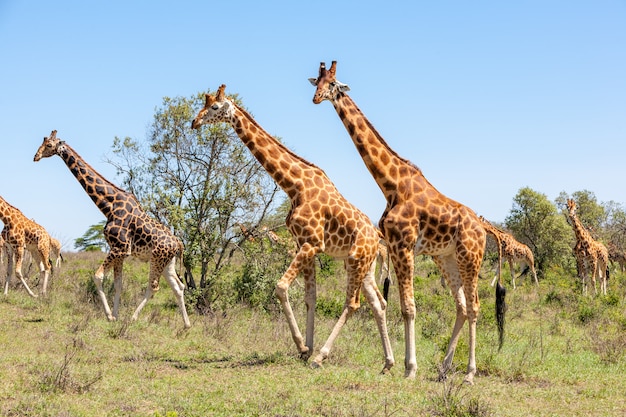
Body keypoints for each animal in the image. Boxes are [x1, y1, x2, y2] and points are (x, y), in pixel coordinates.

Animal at [33, 130, 190, 328]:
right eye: (43, 142)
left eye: (49, 145)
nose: (35, 157)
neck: (109, 206)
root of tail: (178, 243)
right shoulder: (120, 251)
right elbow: (118, 284)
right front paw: (115, 315)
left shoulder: (120, 248)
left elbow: (98, 276)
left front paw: (109, 315)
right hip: (167, 261)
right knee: (179, 286)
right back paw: (186, 324)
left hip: (157, 259)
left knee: (154, 286)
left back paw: (133, 318)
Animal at [193, 84, 392, 370]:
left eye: (215, 107)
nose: (194, 122)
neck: (294, 185)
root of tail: (376, 237)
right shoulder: (304, 245)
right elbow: (310, 298)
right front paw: (306, 347)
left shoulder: (312, 243)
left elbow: (280, 287)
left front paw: (303, 347)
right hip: (363, 264)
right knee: (379, 303)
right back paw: (389, 363)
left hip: (356, 260)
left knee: (353, 303)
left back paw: (322, 356)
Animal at [310, 61, 504, 384]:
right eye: (318, 81)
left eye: (333, 83)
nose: (316, 98)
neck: (391, 184)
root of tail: (484, 227)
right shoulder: (398, 246)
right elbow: (402, 306)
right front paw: (404, 365)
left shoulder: (404, 246)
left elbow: (409, 308)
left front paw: (410, 368)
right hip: (446, 258)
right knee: (462, 306)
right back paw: (444, 368)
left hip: (470, 257)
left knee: (475, 306)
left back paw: (468, 373)